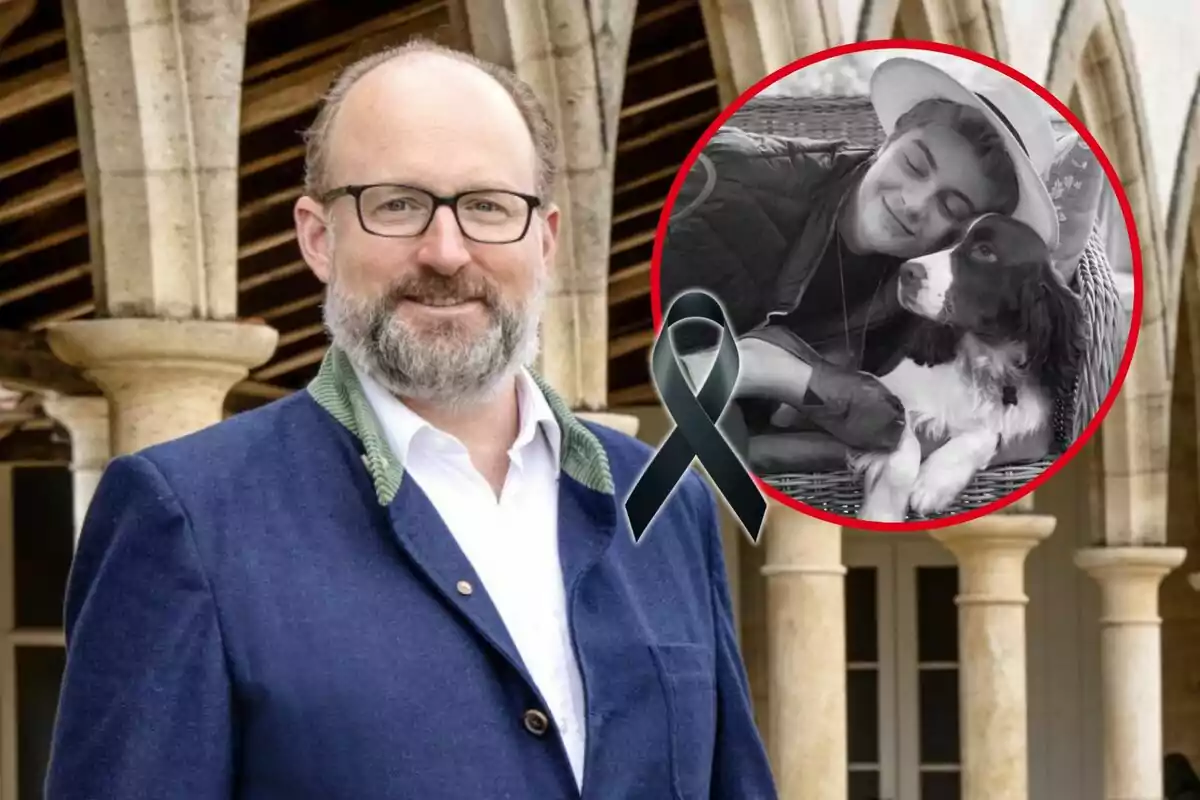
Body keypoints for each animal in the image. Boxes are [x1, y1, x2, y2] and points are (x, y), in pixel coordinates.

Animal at [849, 214, 1084, 525]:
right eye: (949, 240)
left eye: (984, 252)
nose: (906, 271)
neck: (984, 360)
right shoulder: (875, 384)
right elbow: (902, 443)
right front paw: (882, 514)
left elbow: (986, 433)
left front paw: (934, 483)